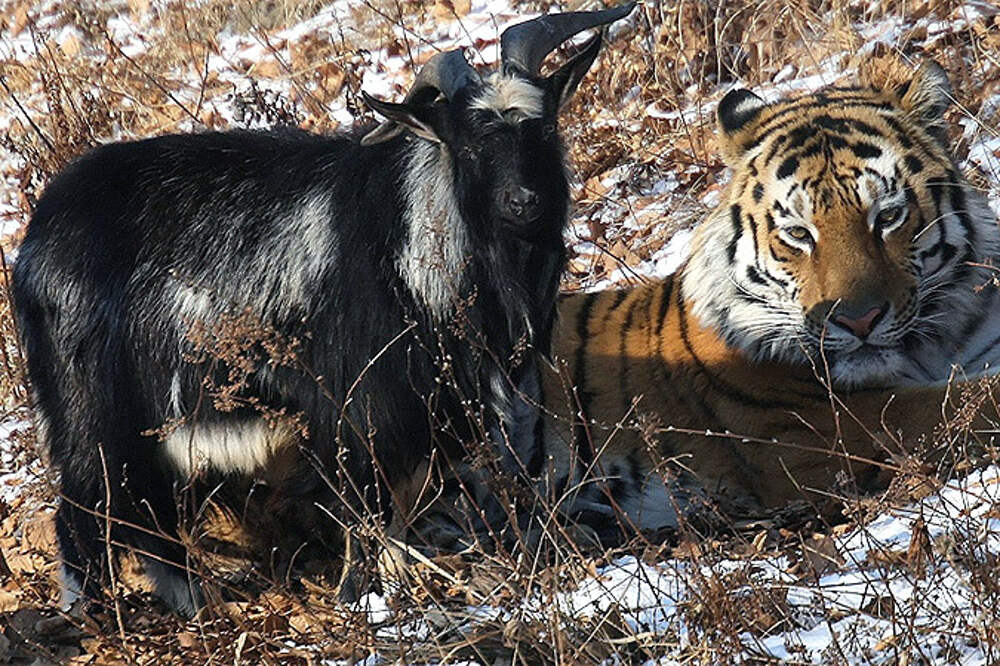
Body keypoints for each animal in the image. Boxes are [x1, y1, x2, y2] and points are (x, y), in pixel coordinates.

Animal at [11, 3, 636, 612]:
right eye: (471, 146)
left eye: (544, 128)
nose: (524, 202)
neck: (413, 235)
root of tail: (37, 239)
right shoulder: (358, 405)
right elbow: (367, 511)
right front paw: (363, 599)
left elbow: (397, 515)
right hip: (93, 412)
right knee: (85, 514)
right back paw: (100, 616)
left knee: (149, 518)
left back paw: (198, 605)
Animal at [532, 58, 1000, 536]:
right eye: (798, 233)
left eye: (887, 217)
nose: (858, 320)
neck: (936, 347)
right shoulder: (827, 431)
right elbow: (967, 403)